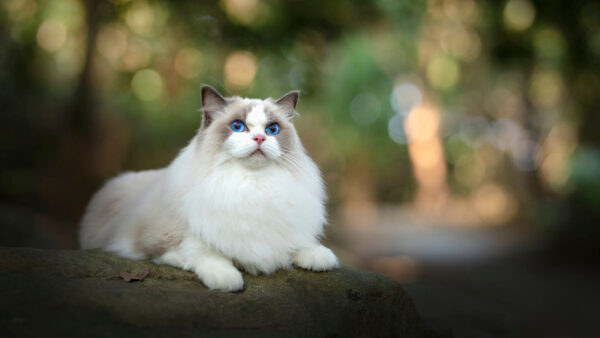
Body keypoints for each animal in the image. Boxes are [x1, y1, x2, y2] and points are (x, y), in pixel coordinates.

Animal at [79, 84, 338, 290]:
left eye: (272, 129)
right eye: (238, 126)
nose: (259, 139)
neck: (251, 184)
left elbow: (297, 244)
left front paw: (321, 257)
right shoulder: (166, 237)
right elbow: (204, 251)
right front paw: (227, 279)